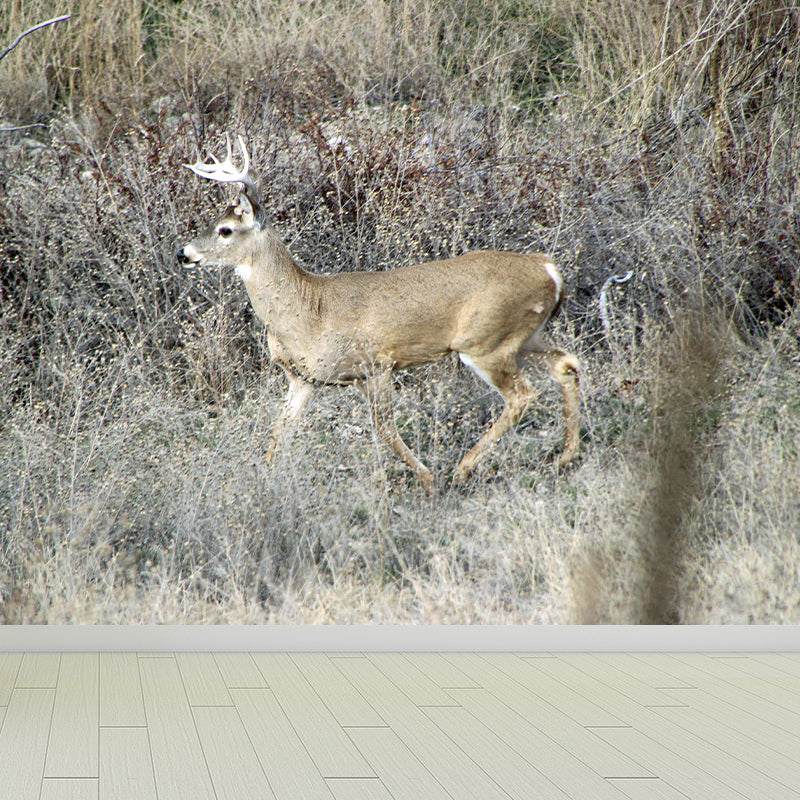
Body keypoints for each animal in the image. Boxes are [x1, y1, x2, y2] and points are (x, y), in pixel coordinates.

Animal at [177, 134, 580, 492]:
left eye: (225, 230)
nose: (183, 253)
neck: (309, 312)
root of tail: (549, 269)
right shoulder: (304, 379)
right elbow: (279, 434)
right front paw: (264, 483)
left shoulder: (377, 364)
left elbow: (384, 428)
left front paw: (427, 480)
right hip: (524, 336)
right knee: (566, 364)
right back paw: (565, 458)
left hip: (486, 342)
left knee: (522, 394)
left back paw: (463, 469)